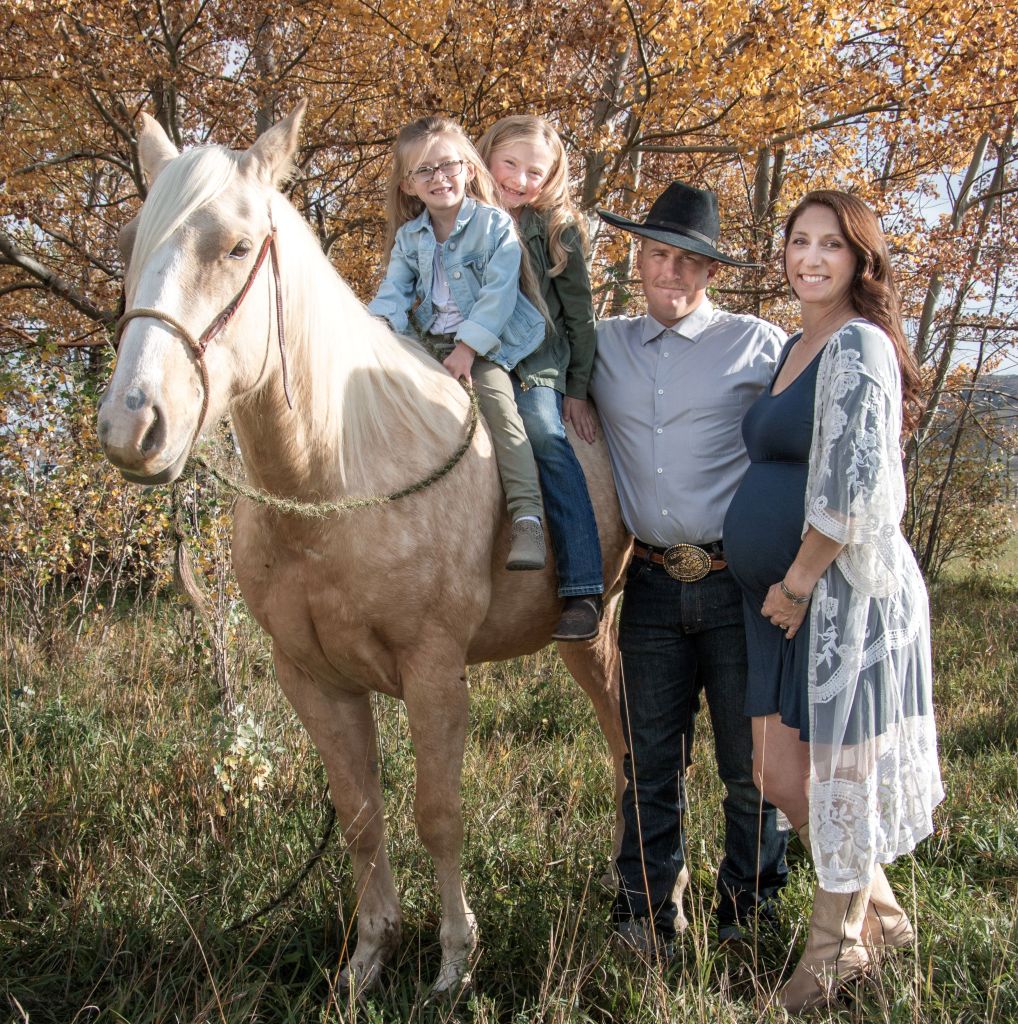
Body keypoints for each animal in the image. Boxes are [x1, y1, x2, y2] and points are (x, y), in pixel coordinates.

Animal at [99, 103, 630, 991]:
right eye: (131, 239)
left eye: (237, 247)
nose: (131, 426)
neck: (338, 473)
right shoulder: (312, 680)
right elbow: (360, 817)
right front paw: (370, 957)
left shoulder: (433, 672)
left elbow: (438, 814)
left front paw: (454, 962)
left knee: (637, 742)